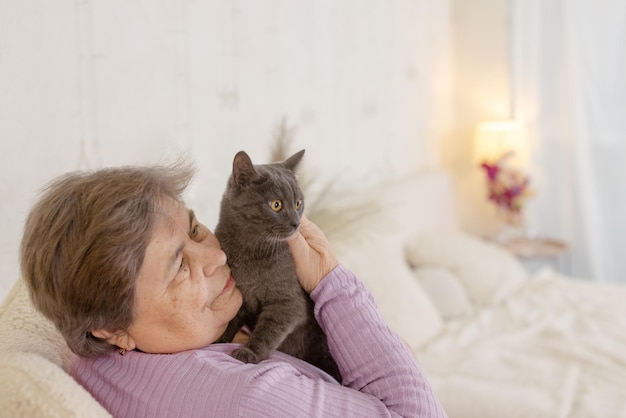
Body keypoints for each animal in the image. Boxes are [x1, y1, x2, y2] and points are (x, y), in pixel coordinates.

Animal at [214, 149, 342, 382]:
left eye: (298, 204)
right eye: (276, 204)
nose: (296, 223)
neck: (249, 251)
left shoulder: (288, 303)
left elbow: (268, 330)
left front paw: (250, 353)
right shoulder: (238, 293)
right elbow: (229, 318)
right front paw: (218, 340)